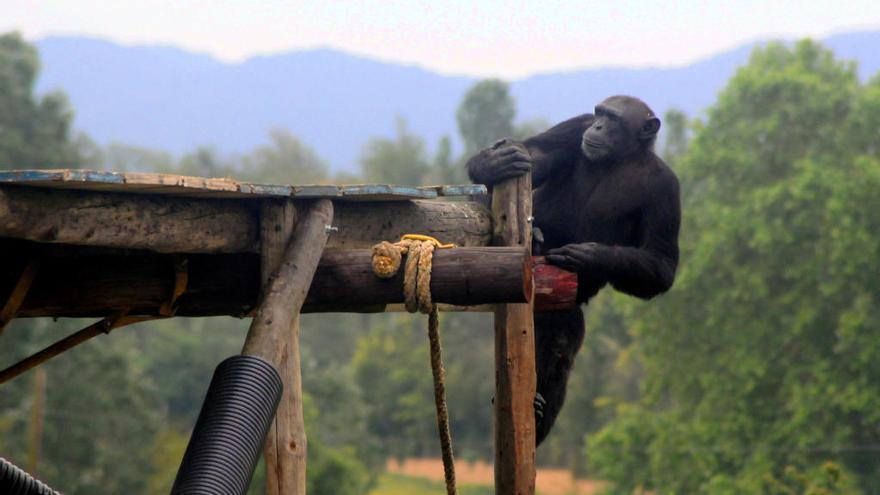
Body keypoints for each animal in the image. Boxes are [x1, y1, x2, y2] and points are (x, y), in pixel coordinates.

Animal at [468, 96, 680, 446]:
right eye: (598, 114)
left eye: (613, 118)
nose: (598, 127)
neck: (622, 156)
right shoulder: (574, 128)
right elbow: (534, 154)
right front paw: (493, 162)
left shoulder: (667, 189)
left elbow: (662, 261)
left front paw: (591, 256)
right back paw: (534, 237)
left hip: (560, 313)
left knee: (557, 351)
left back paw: (536, 413)